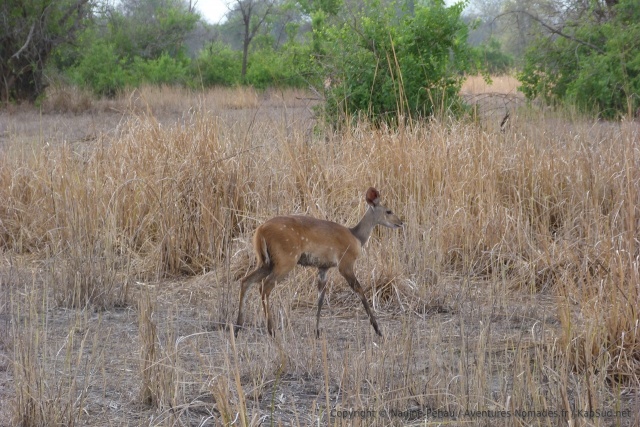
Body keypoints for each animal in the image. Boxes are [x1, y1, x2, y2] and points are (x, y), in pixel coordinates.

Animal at [234, 187, 403, 338]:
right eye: (389, 211)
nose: (400, 222)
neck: (356, 237)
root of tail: (260, 230)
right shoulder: (345, 264)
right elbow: (359, 290)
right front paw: (378, 330)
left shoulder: (323, 268)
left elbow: (320, 299)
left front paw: (316, 332)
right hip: (285, 261)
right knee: (265, 286)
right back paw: (271, 331)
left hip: (265, 262)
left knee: (246, 281)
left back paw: (237, 328)